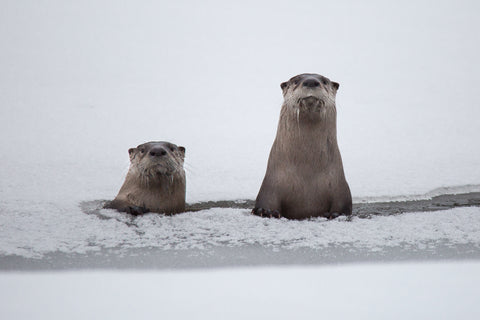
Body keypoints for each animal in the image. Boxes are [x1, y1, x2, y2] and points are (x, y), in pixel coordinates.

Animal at [253, 73, 350, 220]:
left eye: (324, 81)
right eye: (295, 81)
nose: (311, 81)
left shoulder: (340, 188)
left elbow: (344, 205)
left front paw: (336, 214)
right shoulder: (270, 186)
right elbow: (266, 201)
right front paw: (265, 211)